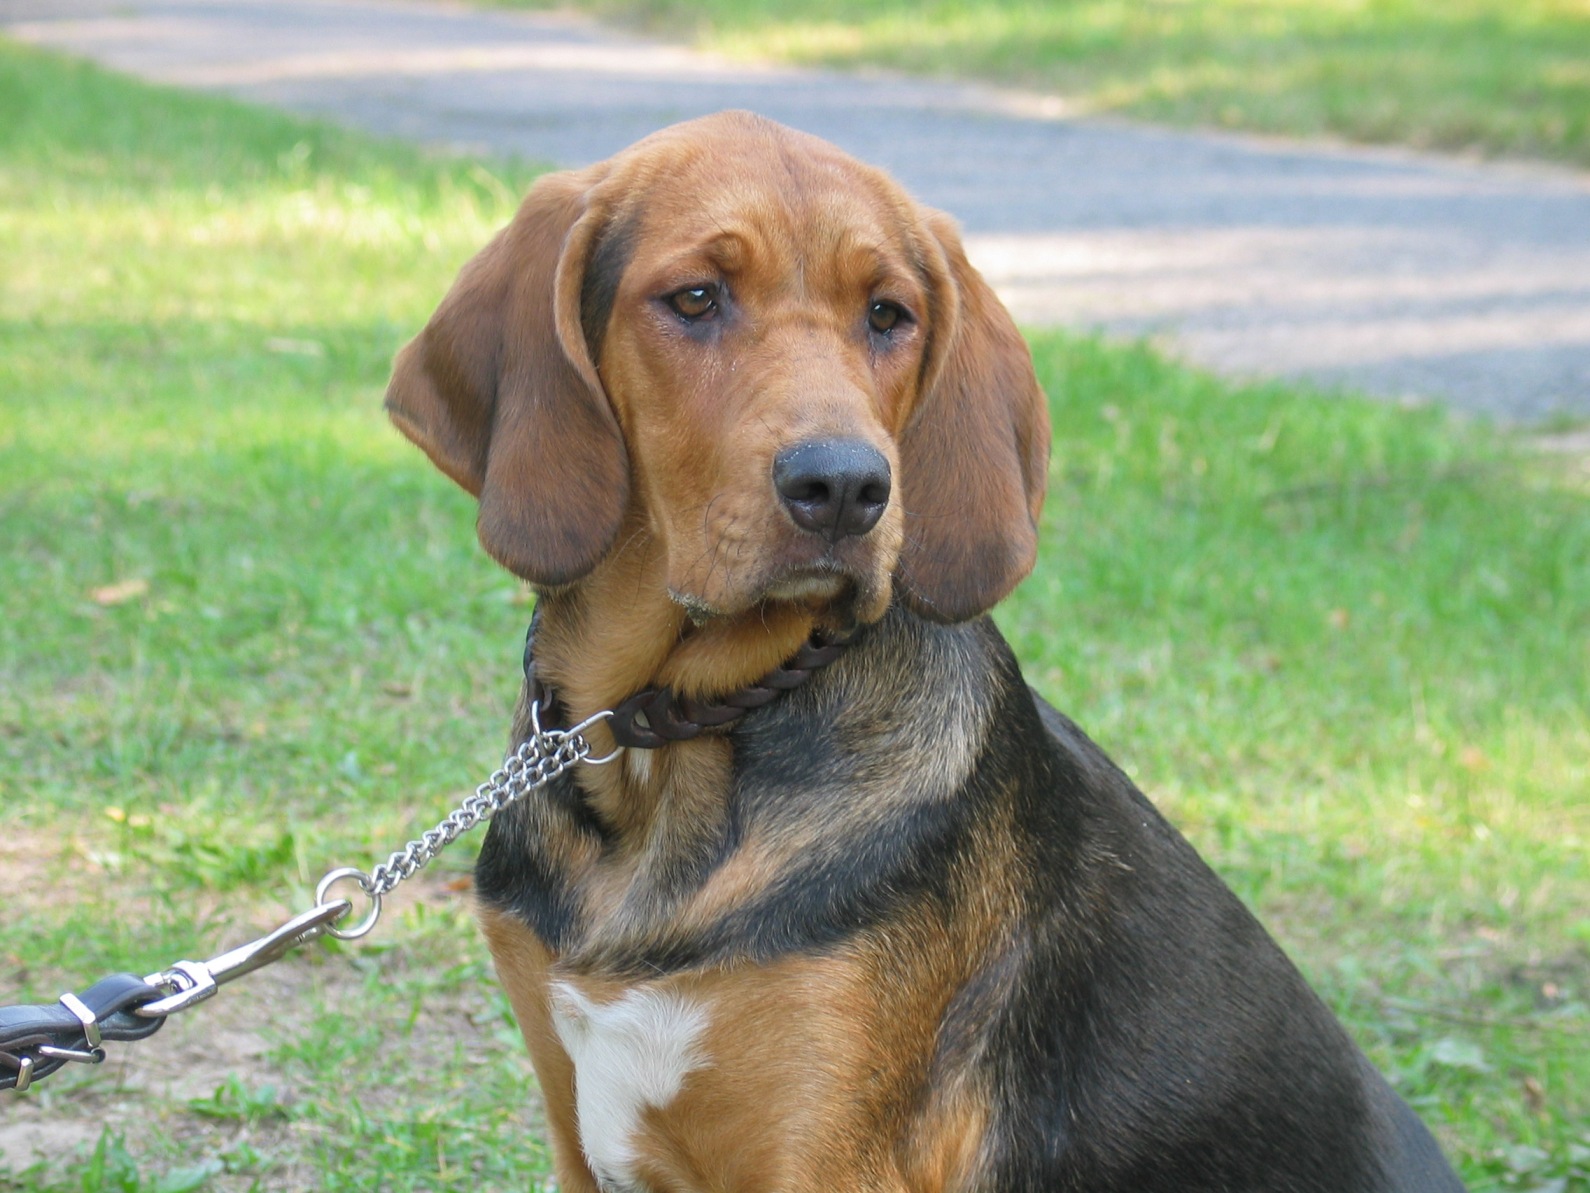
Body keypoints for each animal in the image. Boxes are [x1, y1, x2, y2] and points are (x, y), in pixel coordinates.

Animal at [384, 109, 1462, 1193]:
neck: (670, 739)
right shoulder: (574, 1116)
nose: (846, 487)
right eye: (694, 298)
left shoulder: (825, 1153)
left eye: (888, 314)